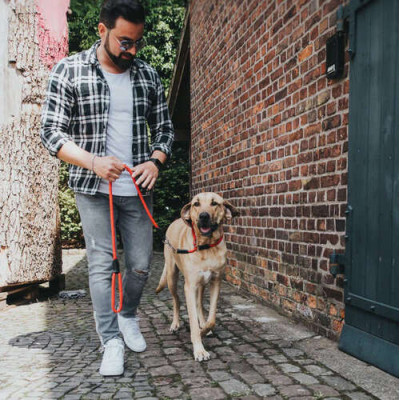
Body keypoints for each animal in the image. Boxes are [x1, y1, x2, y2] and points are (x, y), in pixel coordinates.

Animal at [155, 192, 238, 360]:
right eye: (196, 204)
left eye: (214, 203)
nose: (203, 216)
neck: (206, 246)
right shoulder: (190, 286)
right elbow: (192, 319)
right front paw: (199, 349)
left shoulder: (216, 282)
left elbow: (212, 318)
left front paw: (204, 329)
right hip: (172, 276)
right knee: (176, 300)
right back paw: (175, 324)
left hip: (201, 284)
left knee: (199, 304)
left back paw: (203, 324)